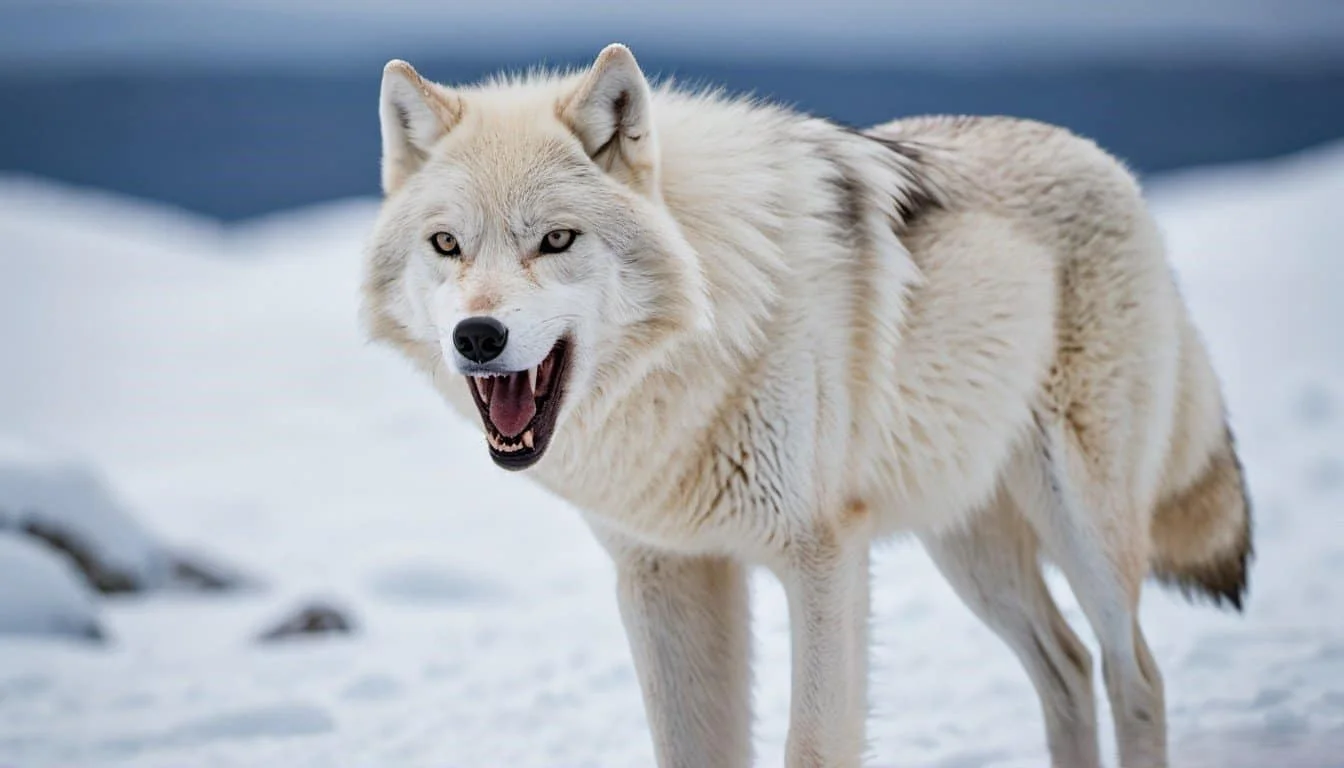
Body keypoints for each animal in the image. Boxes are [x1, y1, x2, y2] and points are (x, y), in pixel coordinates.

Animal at [361, 44, 1252, 768]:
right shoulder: (665, 574)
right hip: (969, 548)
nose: (478, 337)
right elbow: (690, 751)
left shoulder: (822, 556)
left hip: (1081, 527)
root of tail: (1108, 163)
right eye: (447, 245)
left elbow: (814, 746)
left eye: (555, 240)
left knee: (1135, 675)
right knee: (1068, 670)